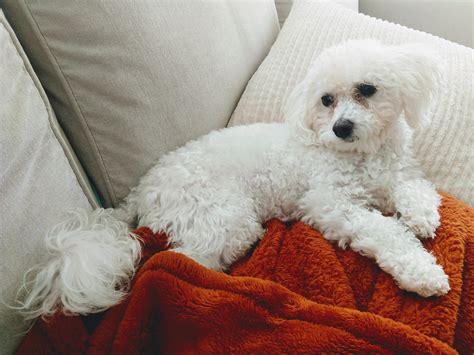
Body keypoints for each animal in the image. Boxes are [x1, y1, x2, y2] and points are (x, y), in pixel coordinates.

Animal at [19, 41, 448, 320]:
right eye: (326, 100)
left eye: (367, 90)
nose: (341, 128)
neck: (361, 155)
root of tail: (141, 191)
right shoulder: (330, 204)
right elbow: (384, 231)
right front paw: (422, 272)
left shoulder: (398, 173)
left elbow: (414, 190)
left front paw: (421, 216)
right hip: (226, 218)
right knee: (175, 262)